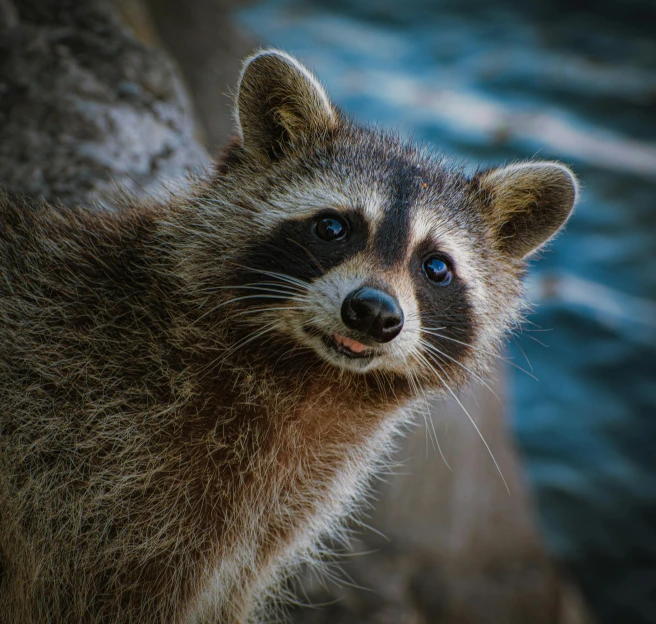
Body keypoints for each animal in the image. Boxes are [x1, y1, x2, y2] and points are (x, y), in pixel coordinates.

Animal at [0, 51, 576, 620]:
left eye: (436, 267)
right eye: (332, 227)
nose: (373, 312)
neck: (312, 377)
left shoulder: (260, 523)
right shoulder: (105, 478)